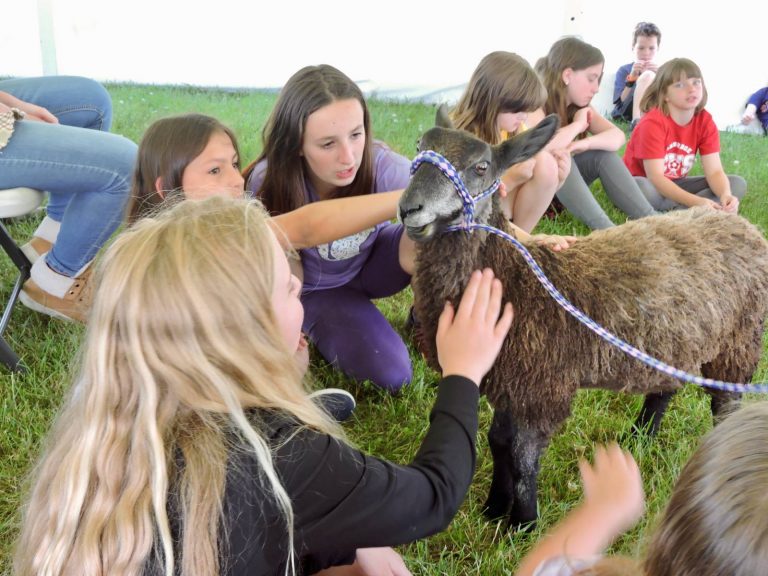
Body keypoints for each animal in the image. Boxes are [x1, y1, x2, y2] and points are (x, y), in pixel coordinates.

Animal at [400, 108, 768, 532]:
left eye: (481, 167)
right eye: (419, 148)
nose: (409, 209)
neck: (516, 278)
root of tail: (743, 225)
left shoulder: (541, 385)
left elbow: (523, 456)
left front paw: (523, 523)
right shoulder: (511, 379)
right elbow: (498, 441)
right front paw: (493, 508)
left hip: (740, 339)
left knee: (726, 404)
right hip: (680, 339)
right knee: (666, 387)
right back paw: (639, 437)